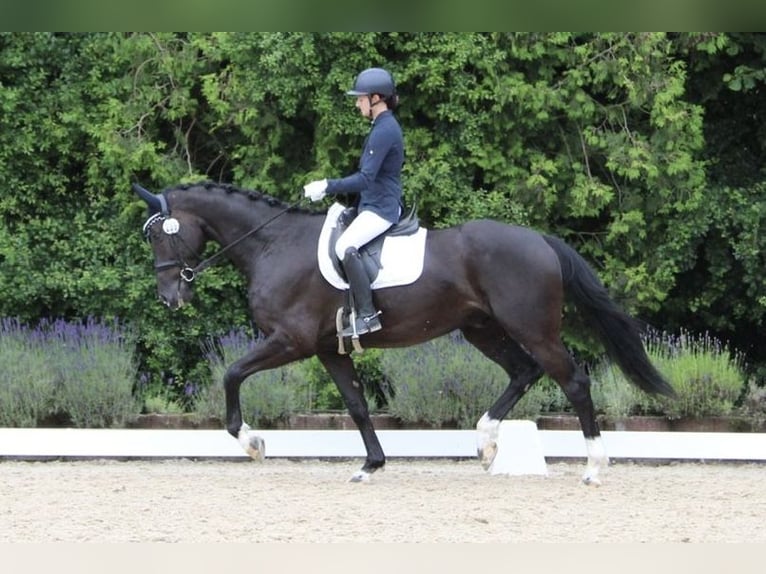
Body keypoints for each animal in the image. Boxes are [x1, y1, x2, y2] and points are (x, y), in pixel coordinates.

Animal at [135, 183, 676, 486]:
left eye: (160, 233)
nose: (169, 297)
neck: (273, 244)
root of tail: (540, 240)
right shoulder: (329, 350)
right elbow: (357, 405)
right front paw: (371, 465)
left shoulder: (291, 341)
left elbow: (230, 374)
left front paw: (252, 443)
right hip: (481, 329)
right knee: (522, 372)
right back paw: (486, 444)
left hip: (532, 327)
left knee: (573, 381)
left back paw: (593, 468)